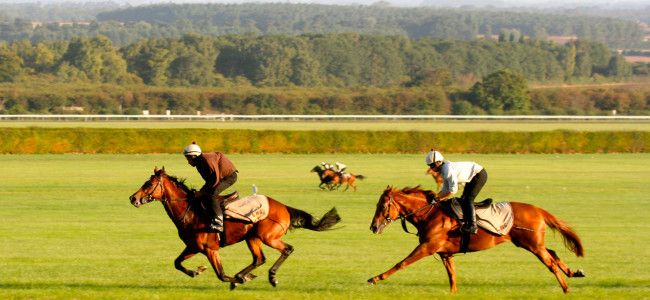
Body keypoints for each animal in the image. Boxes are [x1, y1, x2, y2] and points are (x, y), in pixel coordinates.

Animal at [126, 168, 340, 290]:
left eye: (149, 184)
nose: (133, 198)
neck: (190, 212)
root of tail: (283, 206)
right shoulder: (193, 247)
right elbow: (177, 263)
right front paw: (197, 271)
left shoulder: (210, 248)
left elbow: (220, 274)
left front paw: (238, 281)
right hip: (252, 238)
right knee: (259, 259)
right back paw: (244, 274)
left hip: (268, 236)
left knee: (287, 249)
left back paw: (270, 277)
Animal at [368, 186, 584, 294]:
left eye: (382, 206)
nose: (373, 227)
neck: (430, 214)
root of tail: (538, 209)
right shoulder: (445, 253)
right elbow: (452, 276)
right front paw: (453, 294)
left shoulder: (427, 247)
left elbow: (401, 263)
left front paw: (375, 278)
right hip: (529, 243)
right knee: (553, 253)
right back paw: (574, 272)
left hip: (533, 245)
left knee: (551, 263)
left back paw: (566, 289)